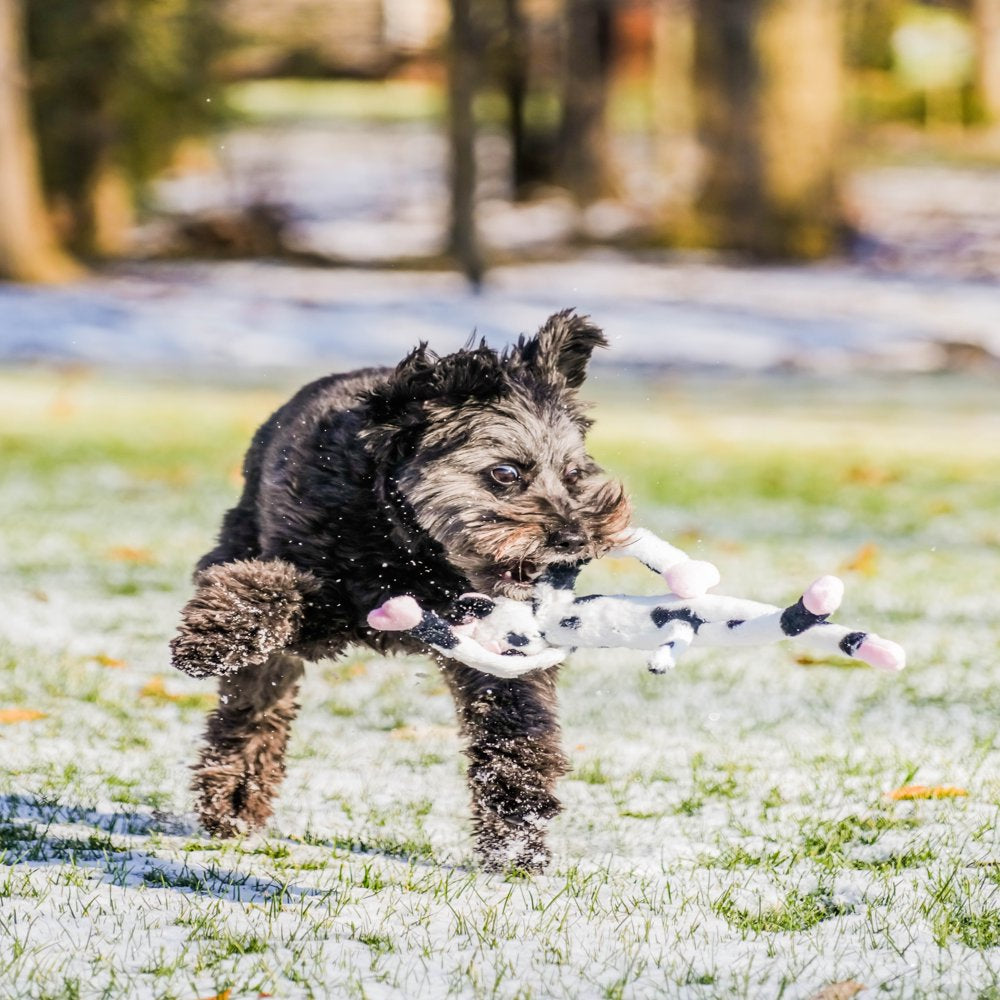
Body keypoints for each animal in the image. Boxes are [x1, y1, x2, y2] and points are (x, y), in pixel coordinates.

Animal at [168, 308, 628, 872]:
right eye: (504, 472)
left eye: (574, 474)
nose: (574, 539)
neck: (415, 552)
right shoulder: (321, 593)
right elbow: (272, 592)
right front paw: (214, 634)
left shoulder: (497, 649)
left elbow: (516, 731)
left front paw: (518, 835)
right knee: (253, 702)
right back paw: (231, 798)